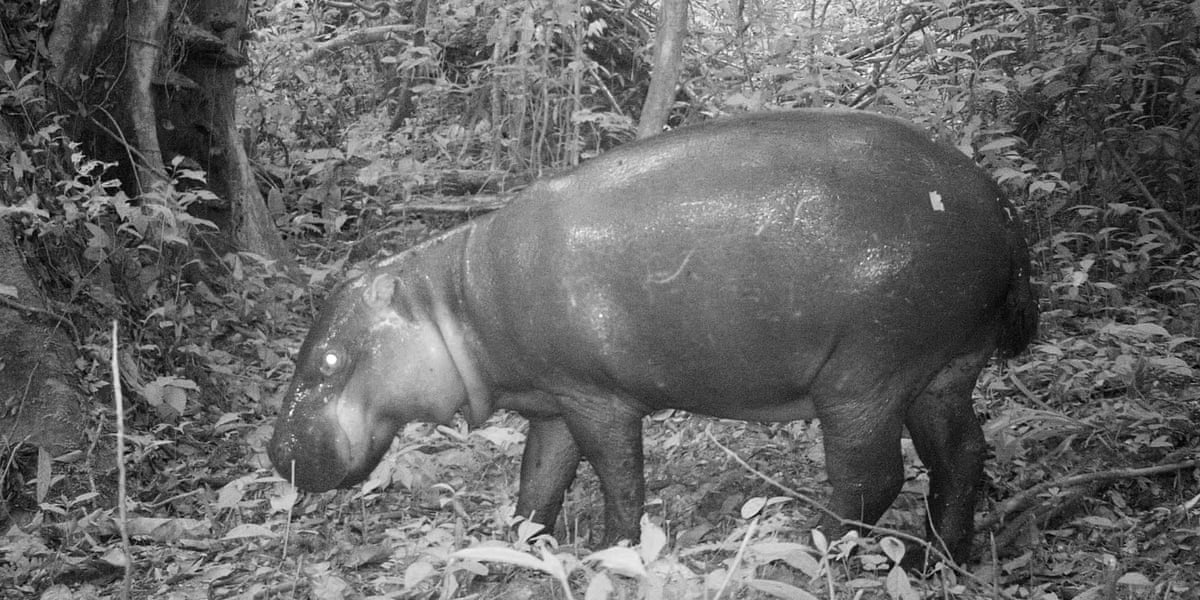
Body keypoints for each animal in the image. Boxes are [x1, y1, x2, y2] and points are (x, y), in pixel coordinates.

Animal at [269, 109, 1037, 567]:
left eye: (329, 359)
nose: (276, 454)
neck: (450, 303)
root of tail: (1000, 206)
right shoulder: (555, 400)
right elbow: (538, 480)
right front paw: (521, 547)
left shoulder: (598, 400)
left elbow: (620, 480)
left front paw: (611, 555)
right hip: (942, 367)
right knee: (962, 455)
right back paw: (940, 559)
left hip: (863, 378)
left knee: (871, 478)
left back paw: (806, 553)